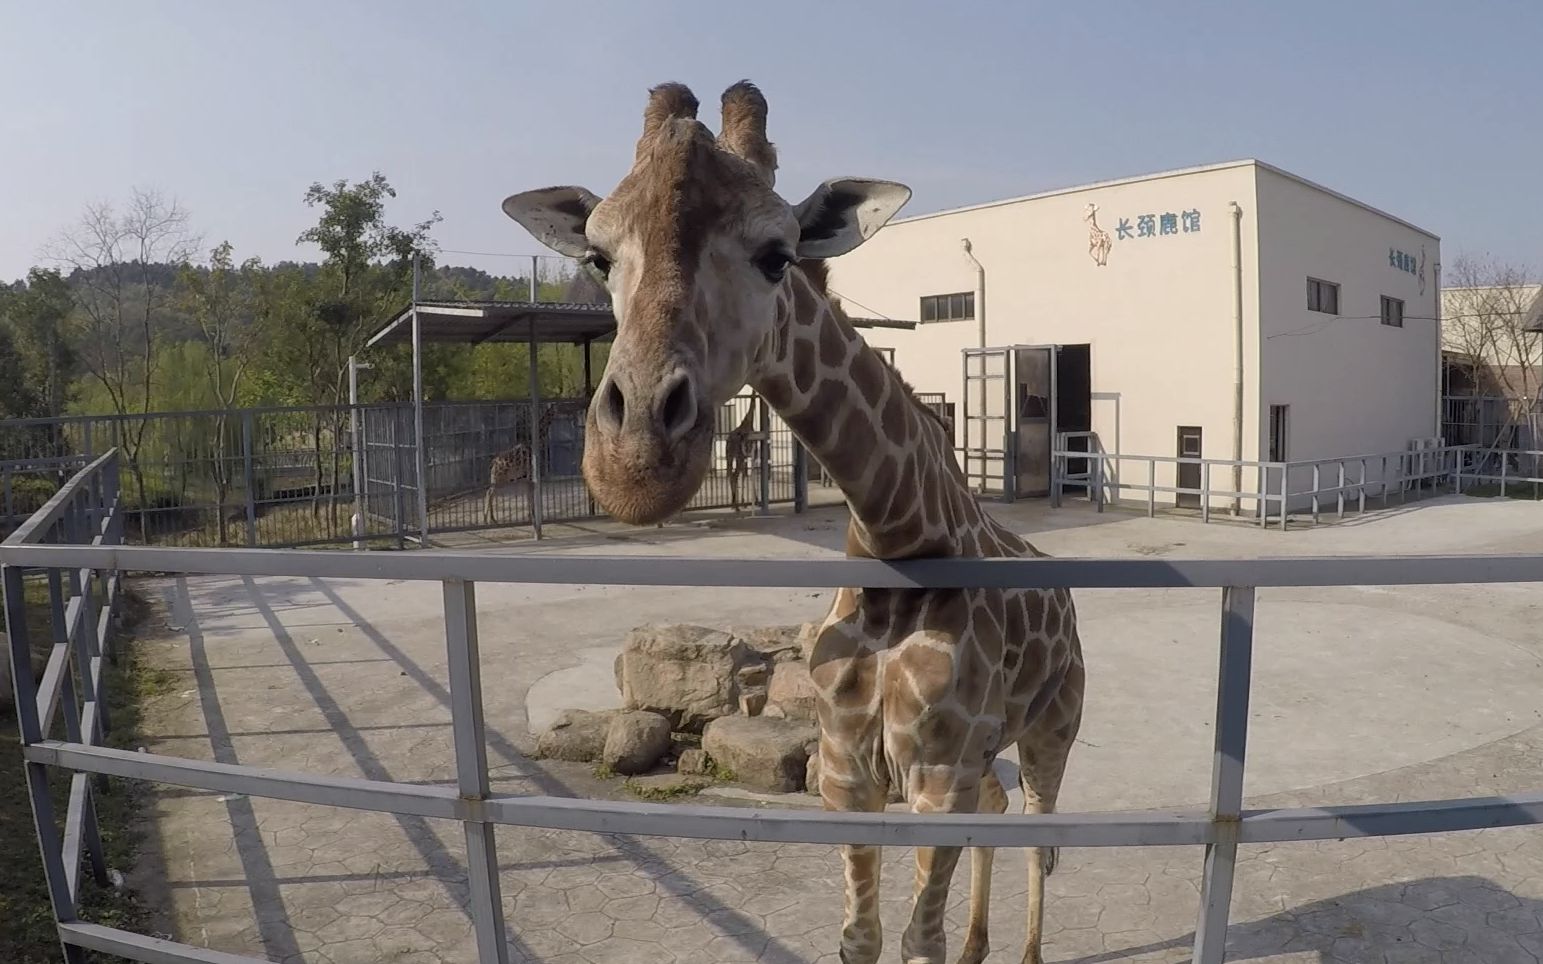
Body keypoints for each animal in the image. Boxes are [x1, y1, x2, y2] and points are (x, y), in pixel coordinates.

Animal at [506, 80, 1086, 962]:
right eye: (597, 258)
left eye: (776, 255)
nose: (634, 460)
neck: (895, 533)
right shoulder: (848, 771)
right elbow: (860, 937)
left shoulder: (934, 773)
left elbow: (917, 940)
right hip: (989, 753)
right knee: (1000, 816)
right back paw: (981, 946)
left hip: (1055, 724)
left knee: (1043, 835)